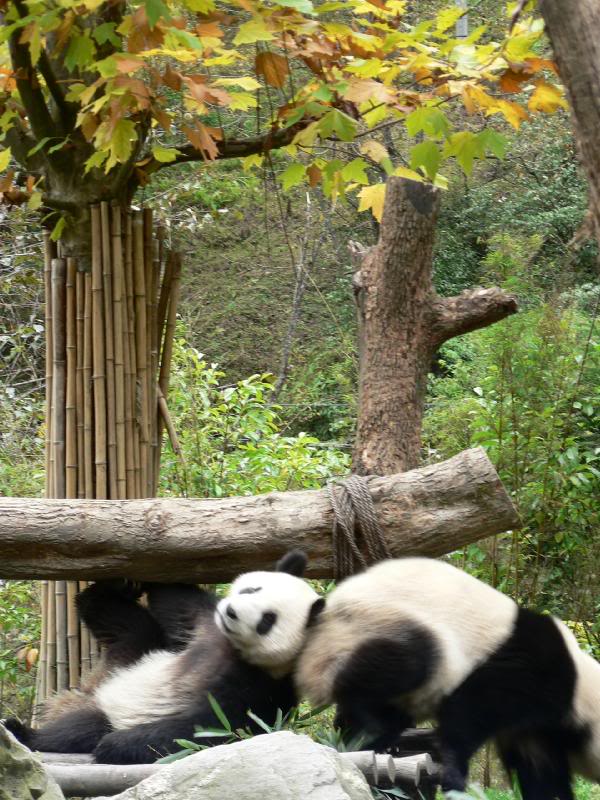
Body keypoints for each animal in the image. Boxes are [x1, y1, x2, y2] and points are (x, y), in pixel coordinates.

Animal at [4, 551, 321, 765]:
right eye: (252, 589)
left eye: (268, 620)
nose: (231, 612)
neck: (231, 648)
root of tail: (90, 689)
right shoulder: (205, 626)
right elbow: (176, 601)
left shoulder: (261, 687)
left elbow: (208, 728)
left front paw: (115, 745)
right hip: (135, 654)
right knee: (126, 622)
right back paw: (114, 589)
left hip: (109, 704)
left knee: (81, 728)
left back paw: (24, 733)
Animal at [220, 555, 600, 800]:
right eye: (250, 590)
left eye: (263, 612)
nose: (232, 612)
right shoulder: (530, 674)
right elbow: (474, 706)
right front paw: (453, 771)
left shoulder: (536, 724)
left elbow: (541, 772)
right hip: (369, 631)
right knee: (410, 661)